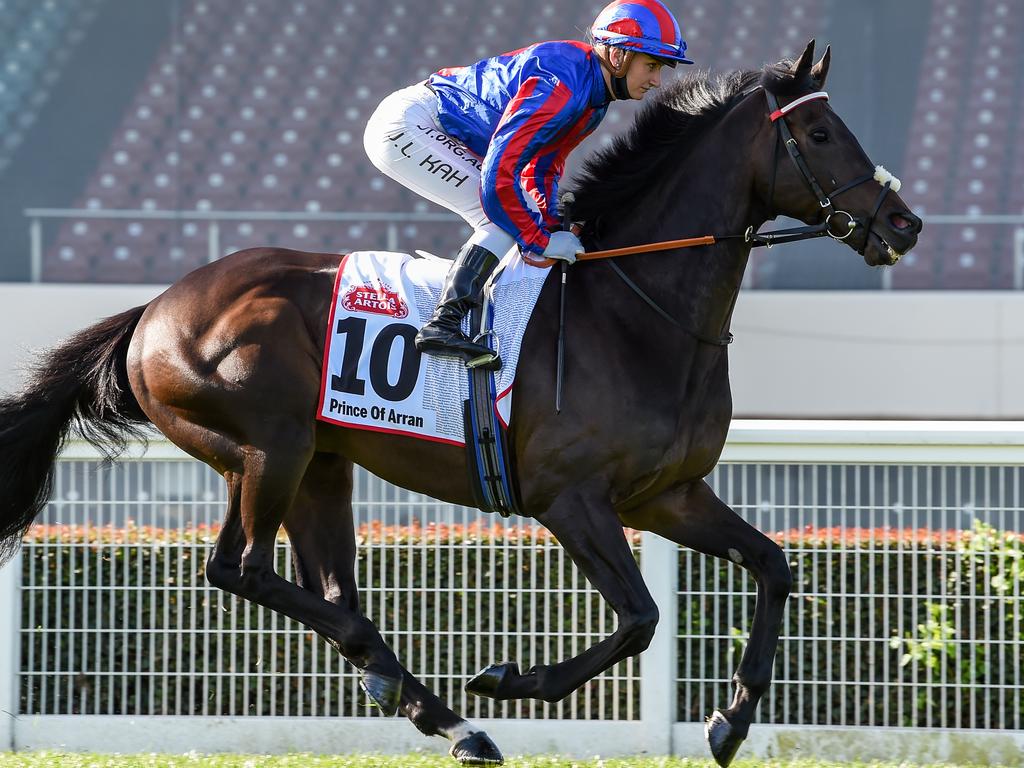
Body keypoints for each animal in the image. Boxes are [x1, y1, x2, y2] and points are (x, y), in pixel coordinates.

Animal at [0, 43, 925, 768]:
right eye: (818, 133)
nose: (904, 224)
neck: (636, 309)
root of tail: (154, 309)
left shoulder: (666, 494)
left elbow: (773, 565)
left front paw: (732, 720)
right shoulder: (570, 498)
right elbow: (640, 617)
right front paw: (517, 677)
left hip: (322, 463)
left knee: (332, 590)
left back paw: (432, 708)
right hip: (265, 445)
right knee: (242, 569)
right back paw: (442, 701)